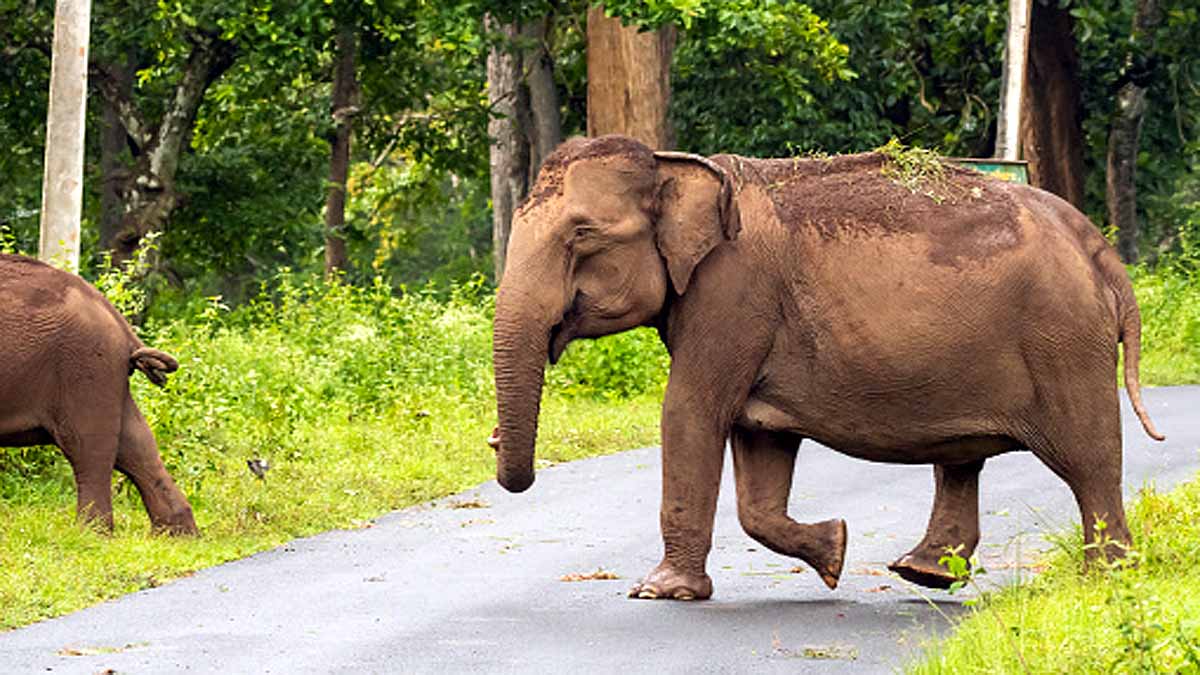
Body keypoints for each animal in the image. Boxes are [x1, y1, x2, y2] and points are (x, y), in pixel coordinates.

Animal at [0, 254, 197, 535]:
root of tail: (121, 324)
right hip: (100, 375)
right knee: (137, 445)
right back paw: (178, 535)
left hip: (84, 368)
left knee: (88, 447)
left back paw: (90, 533)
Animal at [489, 134, 1163, 599]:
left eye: (582, 235)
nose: (495, 442)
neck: (674, 163)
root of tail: (1094, 243)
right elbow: (758, 444)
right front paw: (835, 550)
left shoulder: (733, 293)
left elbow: (691, 412)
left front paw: (659, 592)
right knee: (964, 458)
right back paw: (924, 574)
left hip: (1062, 340)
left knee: (1088, 458)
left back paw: (1106, 578)